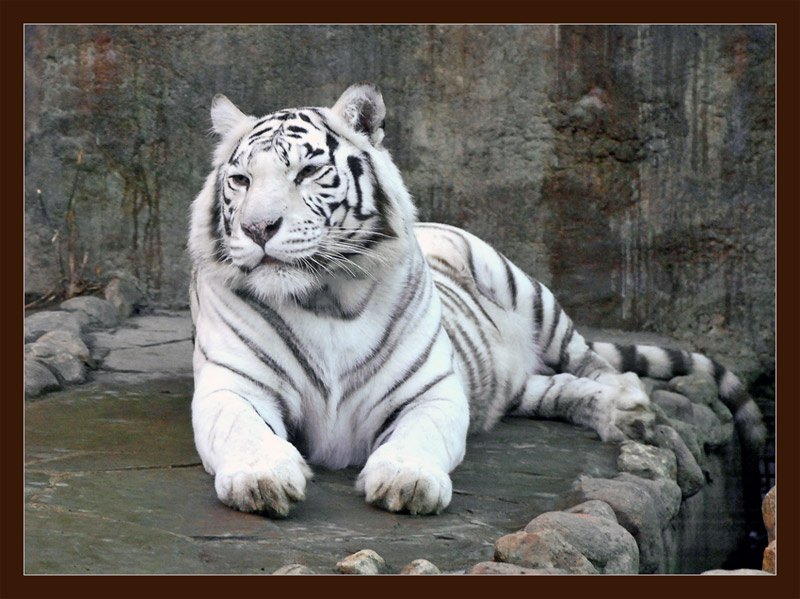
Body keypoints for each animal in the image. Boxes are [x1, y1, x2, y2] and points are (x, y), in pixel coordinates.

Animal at [188, 83, 766, 518]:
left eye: (307, 172)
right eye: (240, 180)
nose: (257, 228)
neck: (325, 297)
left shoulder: (431, 389)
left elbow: (421, 434)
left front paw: (406, 481)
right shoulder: (233, 384)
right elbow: (242, 429)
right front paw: (262, 479)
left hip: (528, 295)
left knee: (597, 365)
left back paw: (630, 408)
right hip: (512, 385)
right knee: (558, 389)